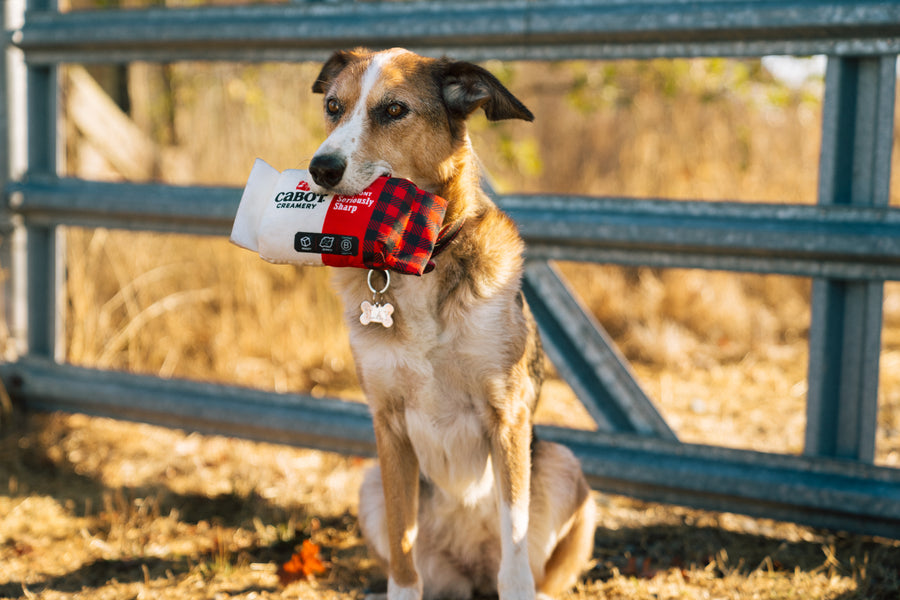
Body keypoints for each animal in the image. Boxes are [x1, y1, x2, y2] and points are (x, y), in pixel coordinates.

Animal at [310, 48, 596, 600]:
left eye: (394, 110)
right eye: (334, 106)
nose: (321, 167)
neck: (421, 264)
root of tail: (471, 570)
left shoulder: (506, 415)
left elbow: (514, 548)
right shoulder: (389, 426)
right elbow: (402, 555)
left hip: (565, 467)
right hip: (371, 483)